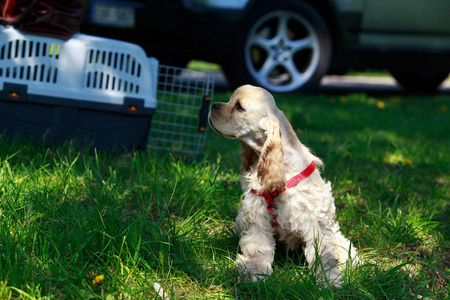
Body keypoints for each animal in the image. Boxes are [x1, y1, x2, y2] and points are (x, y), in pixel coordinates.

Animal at [209, 84, 360, 286]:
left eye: (239, 106)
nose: (213, 105)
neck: (282, 165)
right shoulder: (257, 211)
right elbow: (258, 245)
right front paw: (254, 271)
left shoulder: (315, 216)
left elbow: (324, 253)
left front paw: (328, 279)